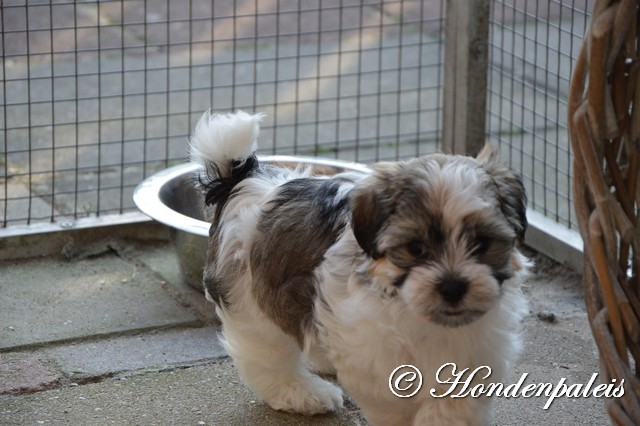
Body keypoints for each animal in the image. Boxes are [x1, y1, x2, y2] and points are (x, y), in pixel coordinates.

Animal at [190, 110, 528, 426]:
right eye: (416, 248)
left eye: (481, 243)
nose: (453, 287)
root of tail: (245, 179)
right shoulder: (374, 353)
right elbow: (394, 403)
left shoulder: (476, 348)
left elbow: (455, 401)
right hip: (250, 296)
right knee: (268, 354)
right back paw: (303, 393)